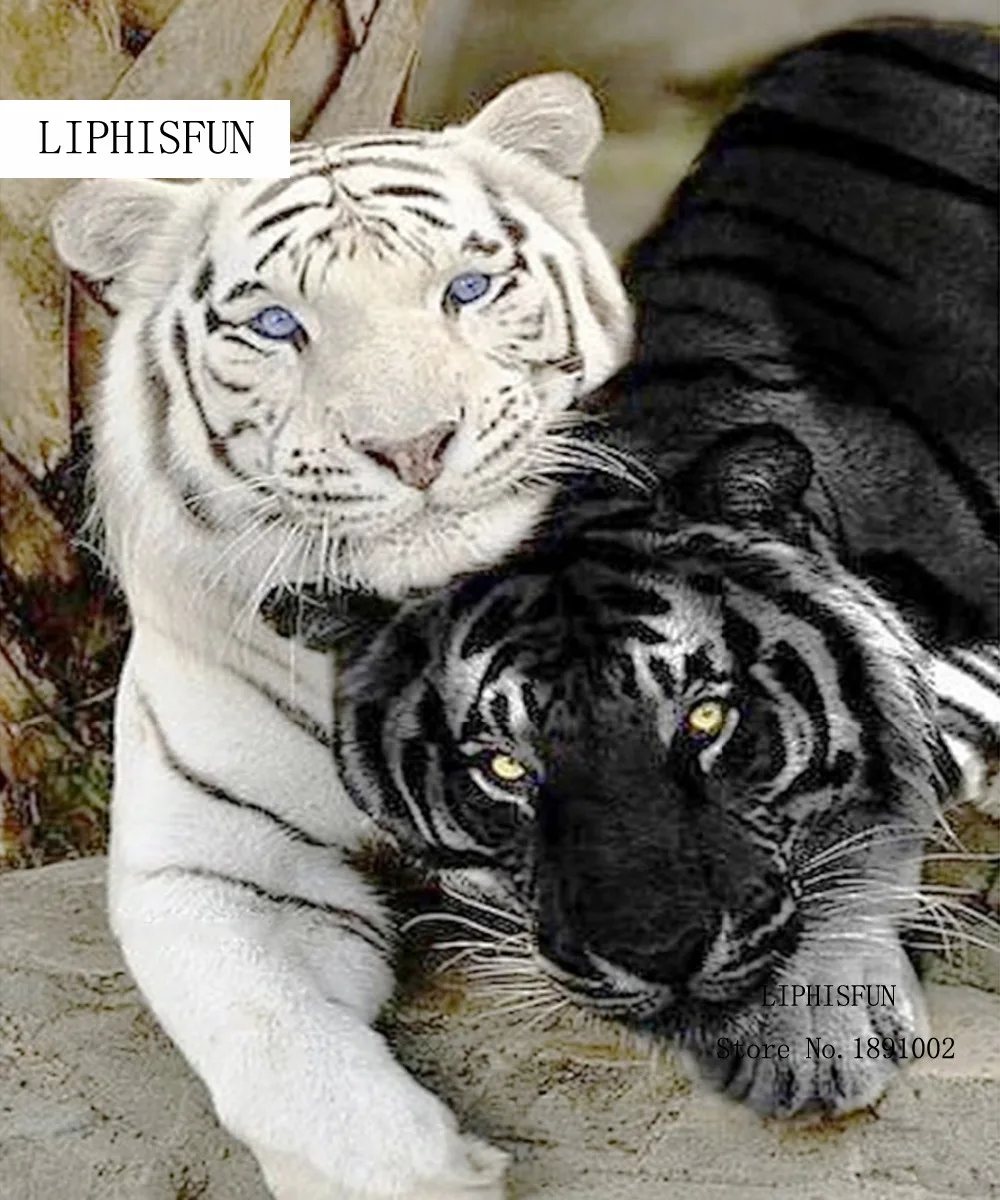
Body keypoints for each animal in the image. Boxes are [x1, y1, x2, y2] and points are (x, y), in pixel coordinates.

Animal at [49, 74, 632, 1200]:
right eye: (279, 325)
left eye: (466, 289)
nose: (413, 445)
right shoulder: (208, 864)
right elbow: (269, 1035)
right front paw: (419, 1173)